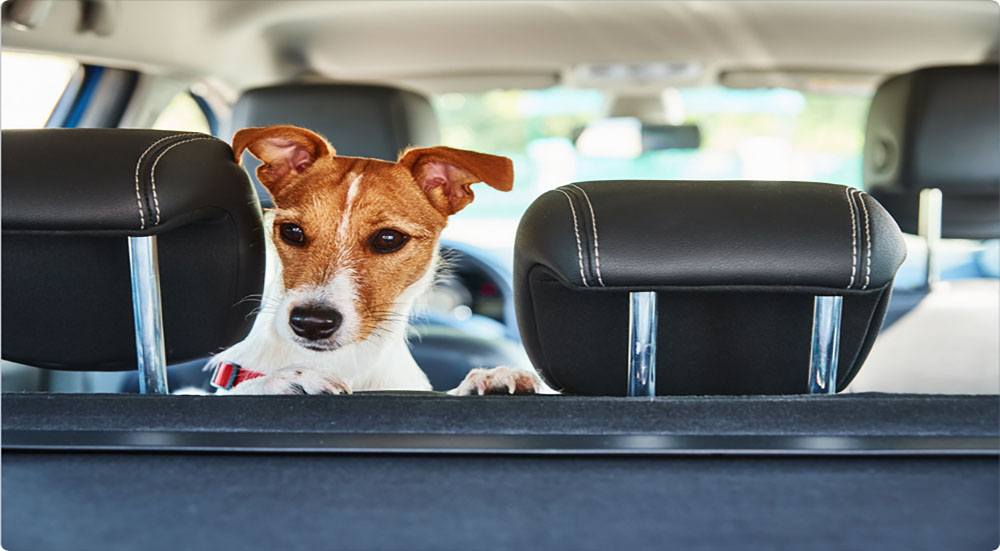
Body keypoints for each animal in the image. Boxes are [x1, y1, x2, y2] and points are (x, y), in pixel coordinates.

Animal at [208, 124, 552, 396]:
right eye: (292, 231)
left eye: (388, 238)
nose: (311, 322)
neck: (341, 363)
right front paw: (280, 381)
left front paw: (488, 379)